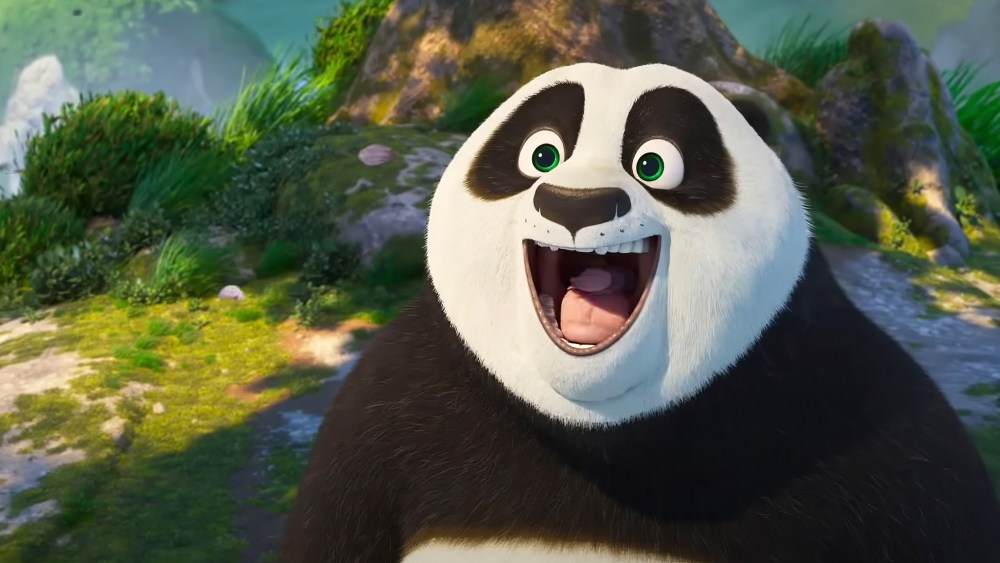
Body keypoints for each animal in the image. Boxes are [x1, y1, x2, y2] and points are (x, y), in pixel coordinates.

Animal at [277, 63, 1000, 562]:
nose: (577, 204)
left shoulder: (872, 424)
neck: (597, 424)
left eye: (654, 163)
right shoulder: (387, 413)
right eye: (541, 154)